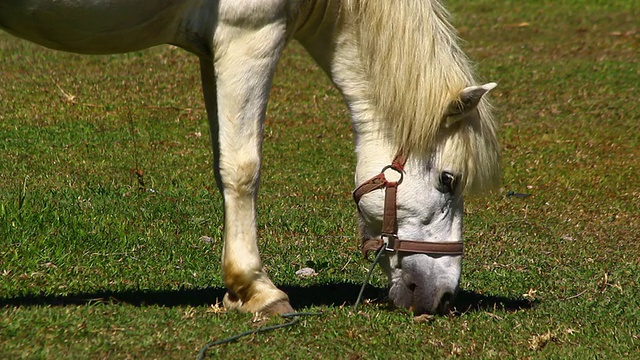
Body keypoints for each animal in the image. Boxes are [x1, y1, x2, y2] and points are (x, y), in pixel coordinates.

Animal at [0, 0, 500, 316]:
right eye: (449, 180)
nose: (445, 297)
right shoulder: (250, 36)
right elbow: (243, 168)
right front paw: (256, 289)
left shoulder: (214, 50)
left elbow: (222, 159)